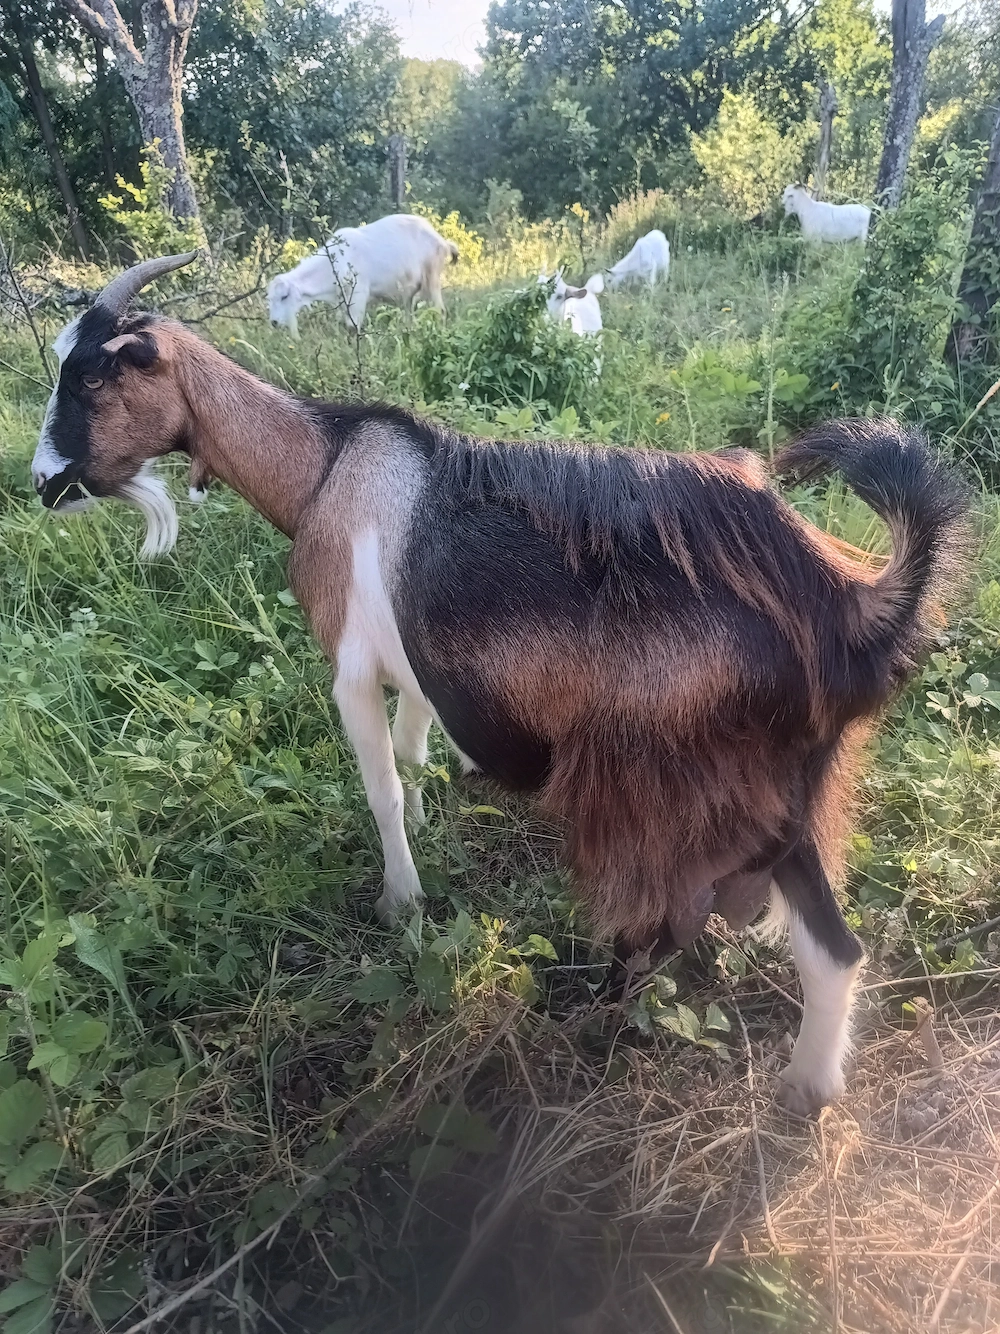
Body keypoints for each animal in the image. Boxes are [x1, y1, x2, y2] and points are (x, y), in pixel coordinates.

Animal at [32, 253, 969, 1117]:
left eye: (92, 375)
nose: (44, 483)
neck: (325, 471)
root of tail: (854, 610)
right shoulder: (417, 669)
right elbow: (412, 755)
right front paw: (430, 820)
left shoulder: (350, 664)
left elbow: (381, 787)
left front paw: (401, 903)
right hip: (788, 793)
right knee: (833, 948)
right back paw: (803, 1090)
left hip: (665, 787)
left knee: (669, 919)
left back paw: (598, 1013)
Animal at [268, 214, 459, 338]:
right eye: (269, 298)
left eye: (284, 296)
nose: (274, 322)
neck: (333, 261)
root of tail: (441, 240)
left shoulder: (358, 293)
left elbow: (353, 326)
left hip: (432, 276)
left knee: (440, 310)